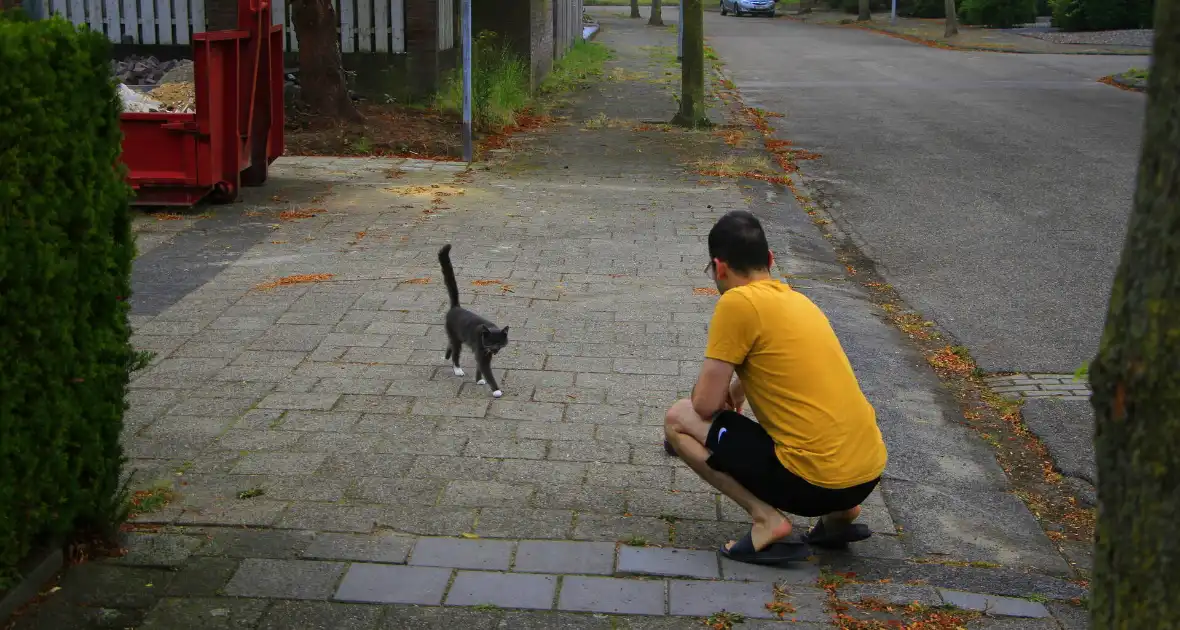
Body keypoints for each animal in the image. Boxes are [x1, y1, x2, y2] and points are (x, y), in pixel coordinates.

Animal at [436, 244, 505, 398]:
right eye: (491, 342)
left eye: (500, 342)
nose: (496, 349)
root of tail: (456, 307)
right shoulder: (481, 352)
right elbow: (487, 371)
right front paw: (496, 389)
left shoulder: (484, 354)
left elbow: (480, 367)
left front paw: (479, 380)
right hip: (457, 339)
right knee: (455, 353)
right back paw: (457, 369)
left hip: (456, 336)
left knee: (450, 344)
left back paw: (447, 355)